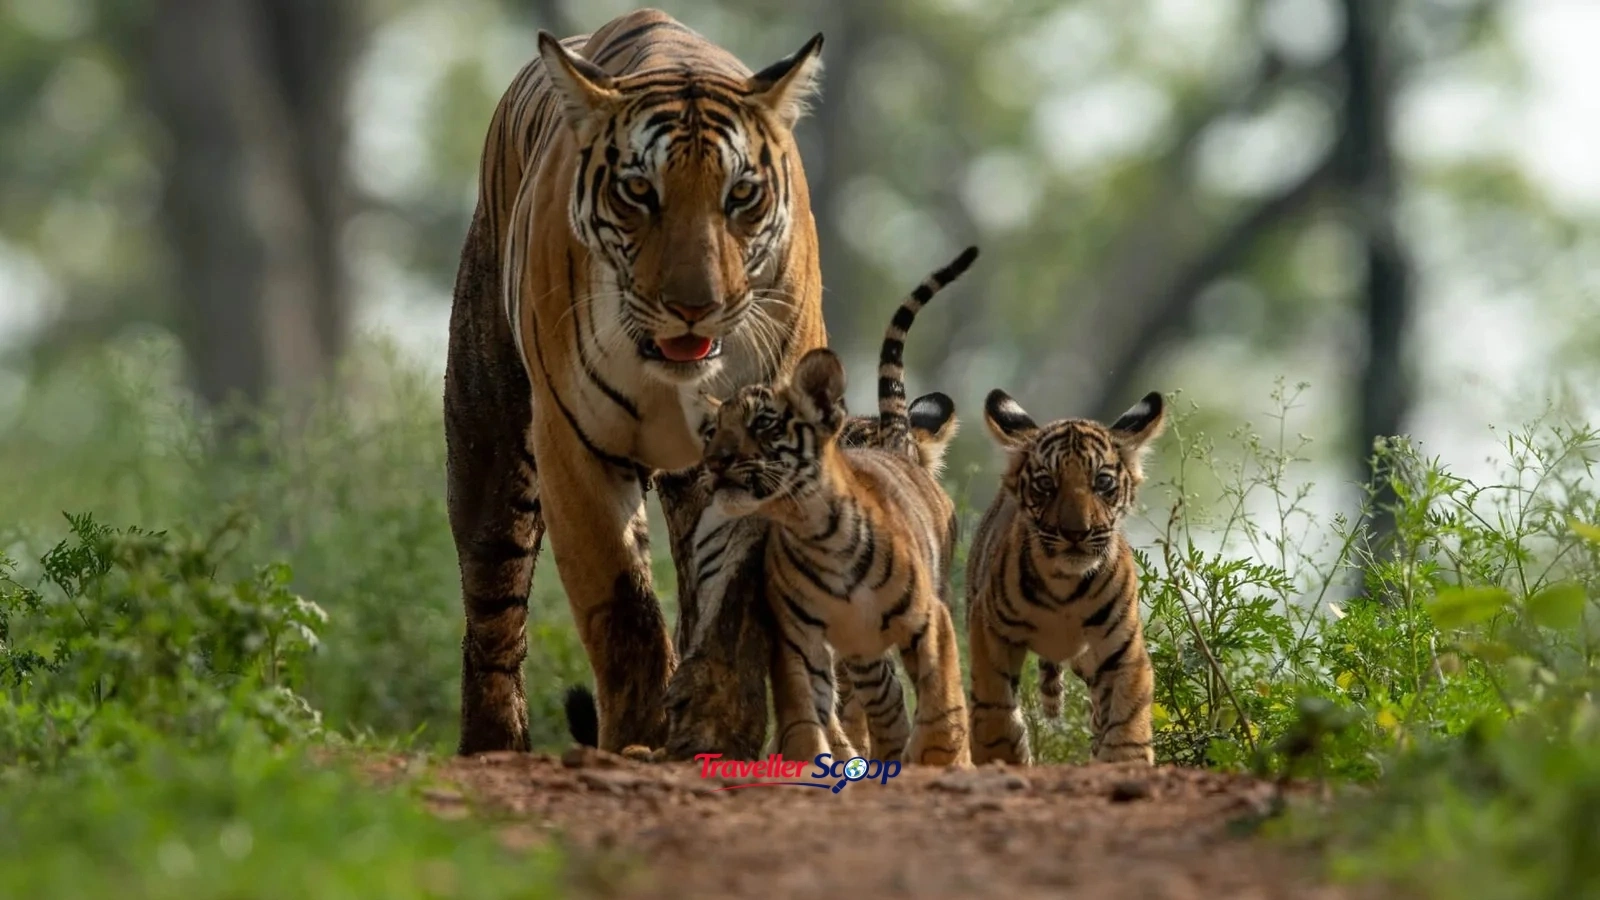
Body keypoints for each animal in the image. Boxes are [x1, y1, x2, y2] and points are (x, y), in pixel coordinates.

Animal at [443, 8, 831, 757]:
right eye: (639, 191)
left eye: (741, 194)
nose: (694, 306)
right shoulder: (576, 446)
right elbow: (624, 608)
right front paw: (637, 737)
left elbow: (730, 600)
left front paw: (713, 731)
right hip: (490, 437)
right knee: (494, 600)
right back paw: (494, 744)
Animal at [965, 389, 1167, 766]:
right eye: (1047, 484)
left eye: (1102, 482)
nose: (1076, 532)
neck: (1065, 585)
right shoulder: (990, 629)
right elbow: (995, 703)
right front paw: (1002, 755)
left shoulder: (1121, 649)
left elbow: (1126, 715)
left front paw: (1125, 761)